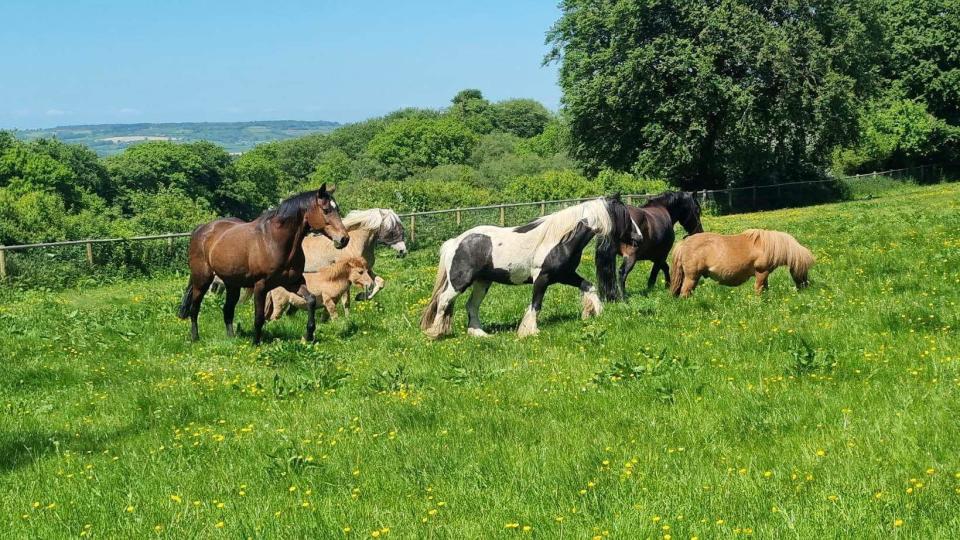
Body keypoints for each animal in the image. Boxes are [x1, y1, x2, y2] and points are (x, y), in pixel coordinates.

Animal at [177, 185, 348, 346]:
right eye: (326, 210)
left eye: (337, 209)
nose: (344, 239)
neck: (274, 241)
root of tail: (201, 229)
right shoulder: (261, 286)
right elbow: (259, 317)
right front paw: (256, 342)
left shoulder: (293, 283)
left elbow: (311, 300)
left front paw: (309, 334)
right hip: (202, 280)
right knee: (194, 308)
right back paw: (195, 338)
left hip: (232, 284)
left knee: (227, 310)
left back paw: (231, 338)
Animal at [422, 195, 640, 338]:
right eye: (625, 216)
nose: (639, 238)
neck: (559, 239)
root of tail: (455, 242)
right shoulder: (542, 278)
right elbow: (536, 304)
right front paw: (529, 331)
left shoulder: (565, 275)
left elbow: (589, 286)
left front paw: (594, 313)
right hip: (459, 282)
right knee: (443, 301)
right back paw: (436, 333)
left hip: (482, 282)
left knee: (471, 306)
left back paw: (479, 333)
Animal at [672, 227, 812, 296]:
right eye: (804, 269)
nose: (806, 287)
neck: (768, 246)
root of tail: (684, 243)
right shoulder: (761, 272)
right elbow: (759, 289)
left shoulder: (765, 274)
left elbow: (765, 288)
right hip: (692, 277)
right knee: (685, 292)